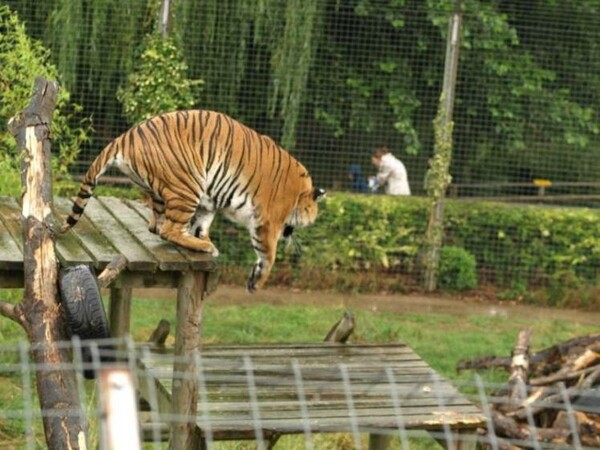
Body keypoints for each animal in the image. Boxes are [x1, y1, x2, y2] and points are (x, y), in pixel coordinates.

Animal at [62, 110, 326, 290]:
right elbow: (268, 254)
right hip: (188, 185)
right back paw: (206, 247)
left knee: (156, 226)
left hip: (166, 189)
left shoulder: (209, 202)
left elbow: (201, 224)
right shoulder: (268, 221)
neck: (298, 193)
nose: (291, 233)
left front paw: (203, 237)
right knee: (168, 229)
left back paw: (201, 243)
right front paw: (257, 282)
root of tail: (125, 137)